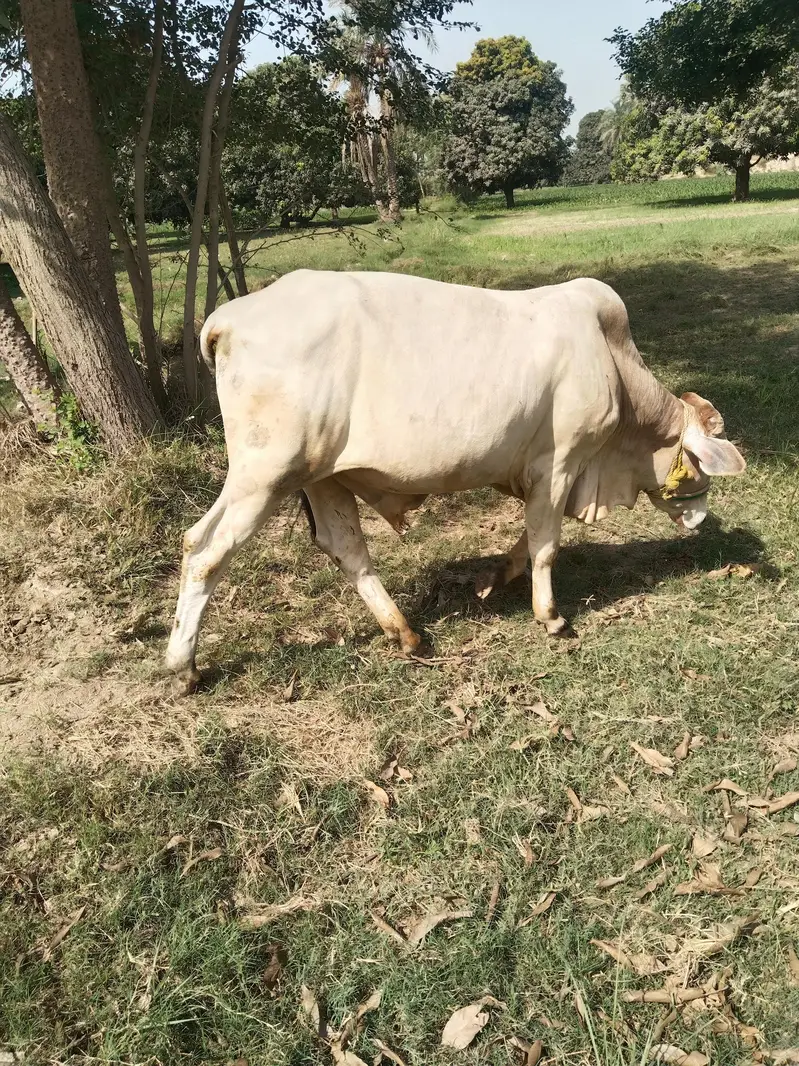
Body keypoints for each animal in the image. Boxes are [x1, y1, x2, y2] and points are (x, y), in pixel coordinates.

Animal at [166, 270, 746, 693]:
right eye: (699, 467)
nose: (701, 518)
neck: (615, 366)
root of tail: (227, 318)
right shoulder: (559, 463)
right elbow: (546, 545)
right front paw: (552, 617)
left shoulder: (541, 473)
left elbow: (528, 540)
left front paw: (495, 579)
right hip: (265, 474)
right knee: (204, 548)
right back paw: (183, 666)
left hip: (320, 475)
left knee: (345, 548)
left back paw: (406, 634)